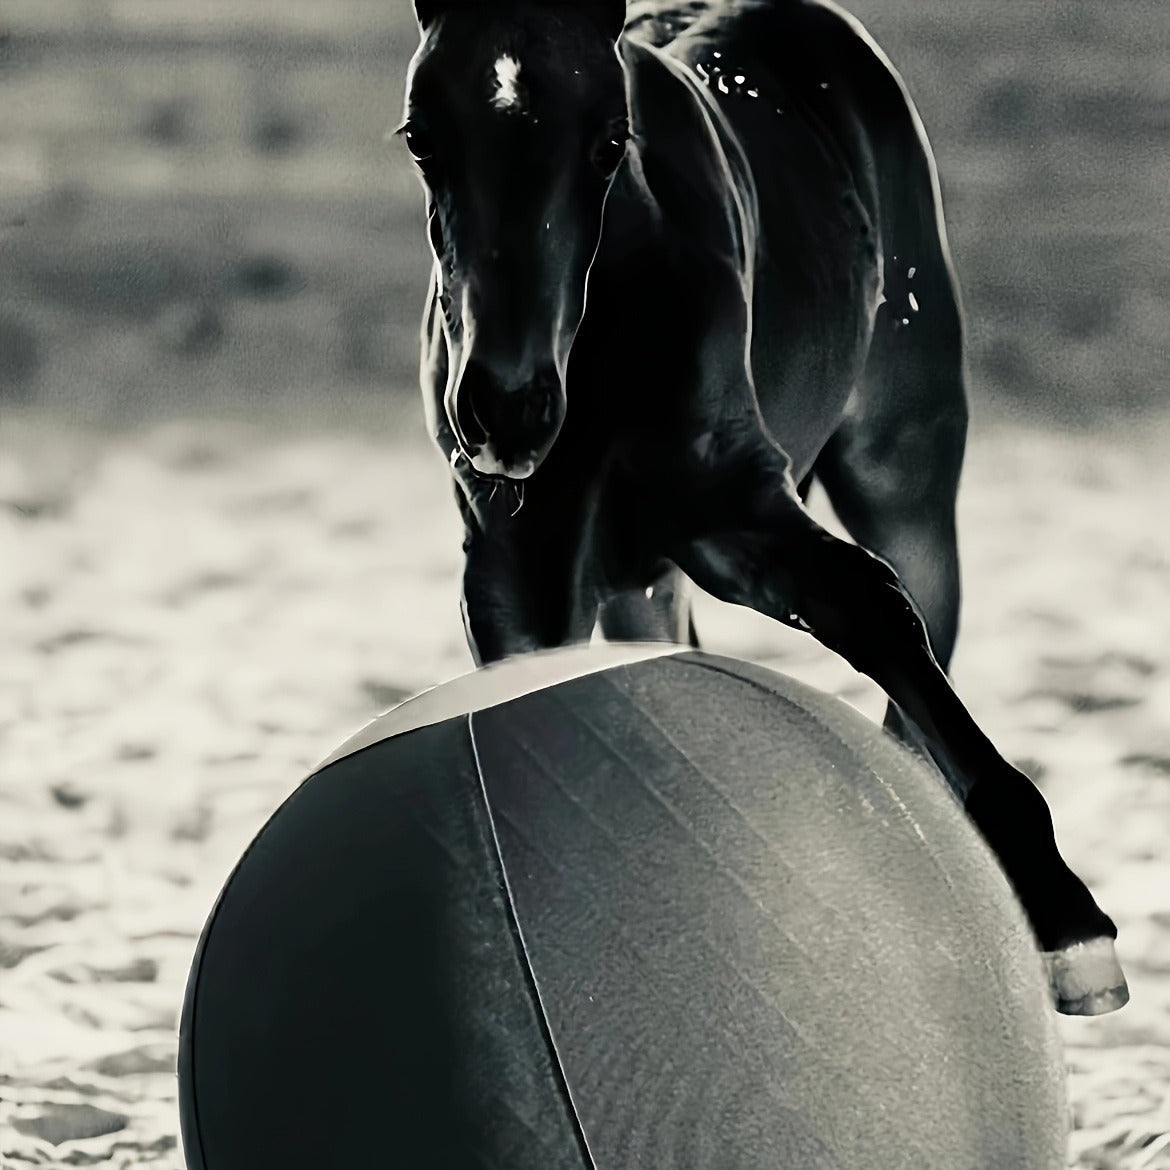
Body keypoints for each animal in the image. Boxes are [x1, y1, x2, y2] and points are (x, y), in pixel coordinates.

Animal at [398, 0, 1127, 1015]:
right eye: (421, 136)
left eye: (610, 140)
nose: (506, 409)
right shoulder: (519, 562)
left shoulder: (734, 508)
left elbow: (869, 607)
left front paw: (1072, 930)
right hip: (639, 578)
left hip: (903, 472)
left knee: (918, 648)